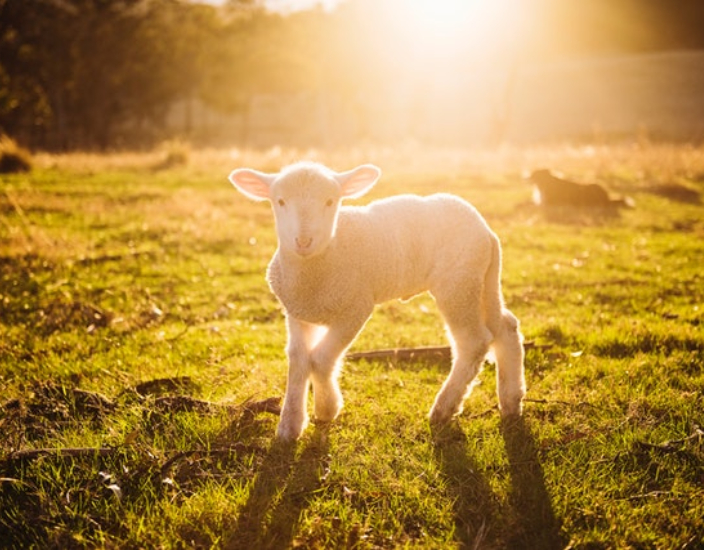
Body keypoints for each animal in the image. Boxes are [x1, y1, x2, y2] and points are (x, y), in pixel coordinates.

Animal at [228, 162, 524, 442]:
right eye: (280, 201)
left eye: (330, 201)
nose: (303, 241)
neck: (320, 264)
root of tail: (486, 231)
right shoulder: (297, 312)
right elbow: (299, 359)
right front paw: (290, 425)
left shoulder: (355, 308)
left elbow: (320, 359)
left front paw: (326, 408)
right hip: (482, 281)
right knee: (505, 327)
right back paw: (511, 401)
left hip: (458, 284)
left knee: (473, 342)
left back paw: (444, 408)